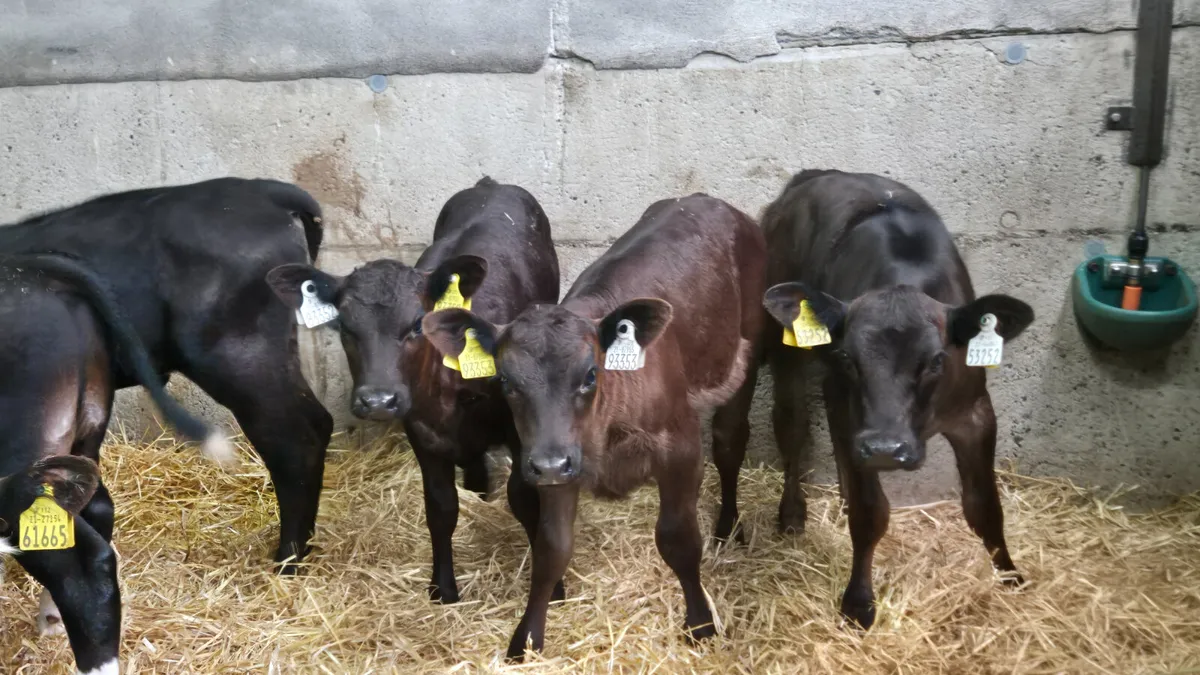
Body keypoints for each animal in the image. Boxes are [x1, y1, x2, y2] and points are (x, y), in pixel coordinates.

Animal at [265, 177, 560, 604]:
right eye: (345, 327)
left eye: (418, 324)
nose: (378, 400)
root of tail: (492, 184)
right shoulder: (423, 432)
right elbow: (440, 508)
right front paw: (443, 588)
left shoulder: (523, 434)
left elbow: (526, 501)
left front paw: (552, 589)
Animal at [422, 193, 767, 660]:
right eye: (506, 381)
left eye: (590, 375)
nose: (549, 464)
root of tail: (708, 201)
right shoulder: (558, 460)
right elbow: (551, 549)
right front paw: (525, 641)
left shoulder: (680, 449)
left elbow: (678, 540)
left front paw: (700, 624)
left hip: (748, 350)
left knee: (730, 442)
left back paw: (729, 527)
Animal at [759, 169, 1034, 629]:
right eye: (847, 356)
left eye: (938, 360)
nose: (886, 448)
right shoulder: (851, 409)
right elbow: (872, 514)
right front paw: (858, 602)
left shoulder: (975, 413)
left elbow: (984, 507)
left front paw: (1009, 575)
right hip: (788, 353)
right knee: (792, 426)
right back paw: (793, 512)